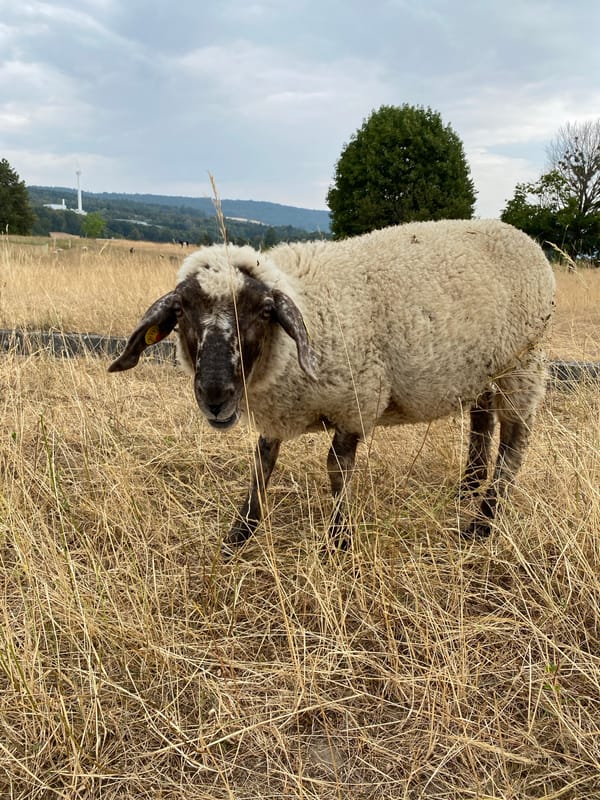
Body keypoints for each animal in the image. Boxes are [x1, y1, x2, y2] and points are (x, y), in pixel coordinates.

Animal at [108, 219, 555, 552]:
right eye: (181, 312)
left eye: (265, 311)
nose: (215, 396)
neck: (309, 305)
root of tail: (524, 238)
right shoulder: (278, 410)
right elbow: (262, 464)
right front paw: (240, 533)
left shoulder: (355, 402)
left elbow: (337, 469)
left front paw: (338, 539)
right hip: (485, 371)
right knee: (482, 422)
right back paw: (467, 489)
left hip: (523, 364)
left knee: (514, 441)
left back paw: (482, 522)